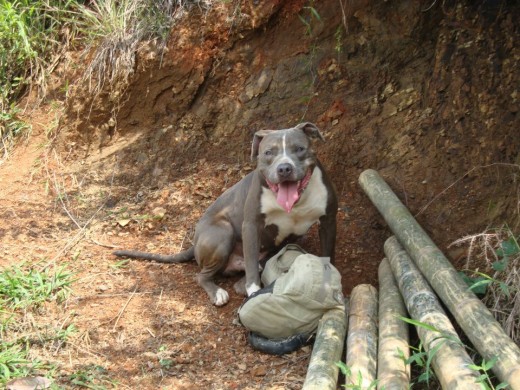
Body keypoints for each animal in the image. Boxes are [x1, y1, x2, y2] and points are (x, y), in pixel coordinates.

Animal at [114, 123, 338, 306]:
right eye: (268, 153)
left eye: (299, 149)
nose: (284, 168)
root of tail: (195, 242)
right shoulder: (251, 225)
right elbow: (251, 272)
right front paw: (253, 293)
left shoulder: (328, 220)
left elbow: (328, 253)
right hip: (222, 232)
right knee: (204, 275)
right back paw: (219, 292)